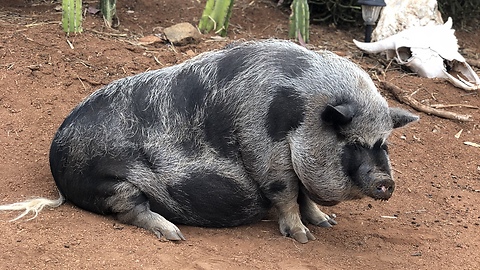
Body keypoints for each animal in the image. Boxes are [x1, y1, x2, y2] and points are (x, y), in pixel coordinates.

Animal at [0, 39, 416, 243]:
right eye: (352, 142)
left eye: (383, 143)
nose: (387, 182)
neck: (301, 110)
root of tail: (57, 156)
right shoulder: (266, 152)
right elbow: (286, 195)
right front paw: (303, 239)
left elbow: (305, 196)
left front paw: (327, 223)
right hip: (111, 182)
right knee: (130, 210)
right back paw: (175, 235)